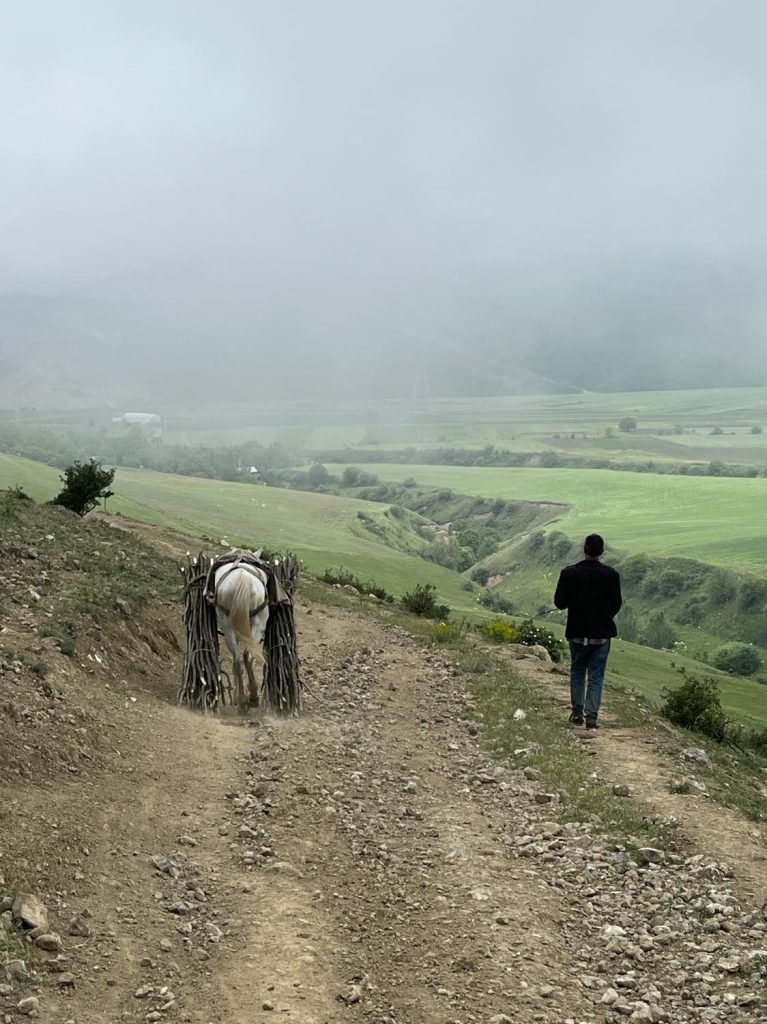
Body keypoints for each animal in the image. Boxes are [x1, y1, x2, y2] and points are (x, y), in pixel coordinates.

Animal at [211, 561, 268, 712]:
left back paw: (243, 700)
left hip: (229, 625)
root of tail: (243, 577)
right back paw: (251, 697)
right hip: (258, 623)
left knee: (238, 658)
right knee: (246, 655)